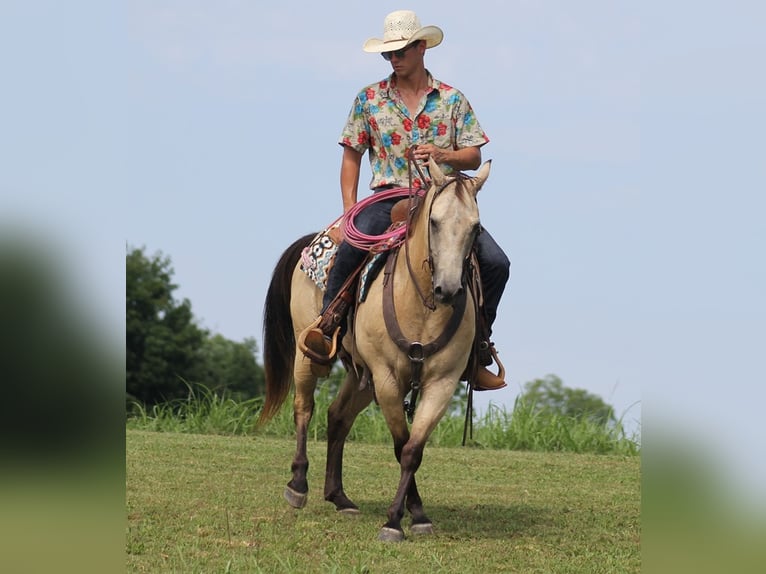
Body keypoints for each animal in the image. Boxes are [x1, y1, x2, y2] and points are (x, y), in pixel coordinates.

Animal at [260, 158, 496, 544]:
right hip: (309, 356)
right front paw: (395, 521)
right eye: (434, 221)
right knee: (304, 408)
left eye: (476, 228)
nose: (448, 289)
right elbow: (400, 445)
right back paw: (298, 485)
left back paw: (339, 497)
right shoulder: (387, 378)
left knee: (337, 416)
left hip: (362, 376)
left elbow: (413, 450)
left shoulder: (441, 383)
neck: (421, 303)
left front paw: (415, 516)